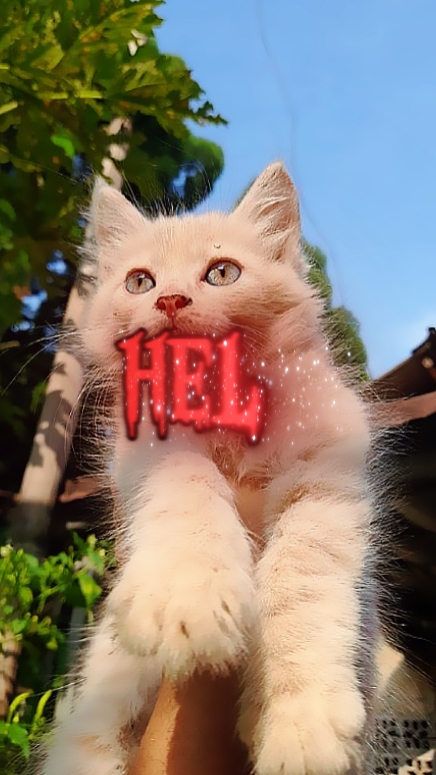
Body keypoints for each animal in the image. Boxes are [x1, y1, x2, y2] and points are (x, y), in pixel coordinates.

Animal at [38, 162, 378, 775]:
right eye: (140, 283)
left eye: (222, 273)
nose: (171, 299)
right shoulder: (151, 451)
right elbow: (189, 489)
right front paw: (188, 599)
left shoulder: (327, 476)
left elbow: (303, 582)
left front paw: (301, 725)